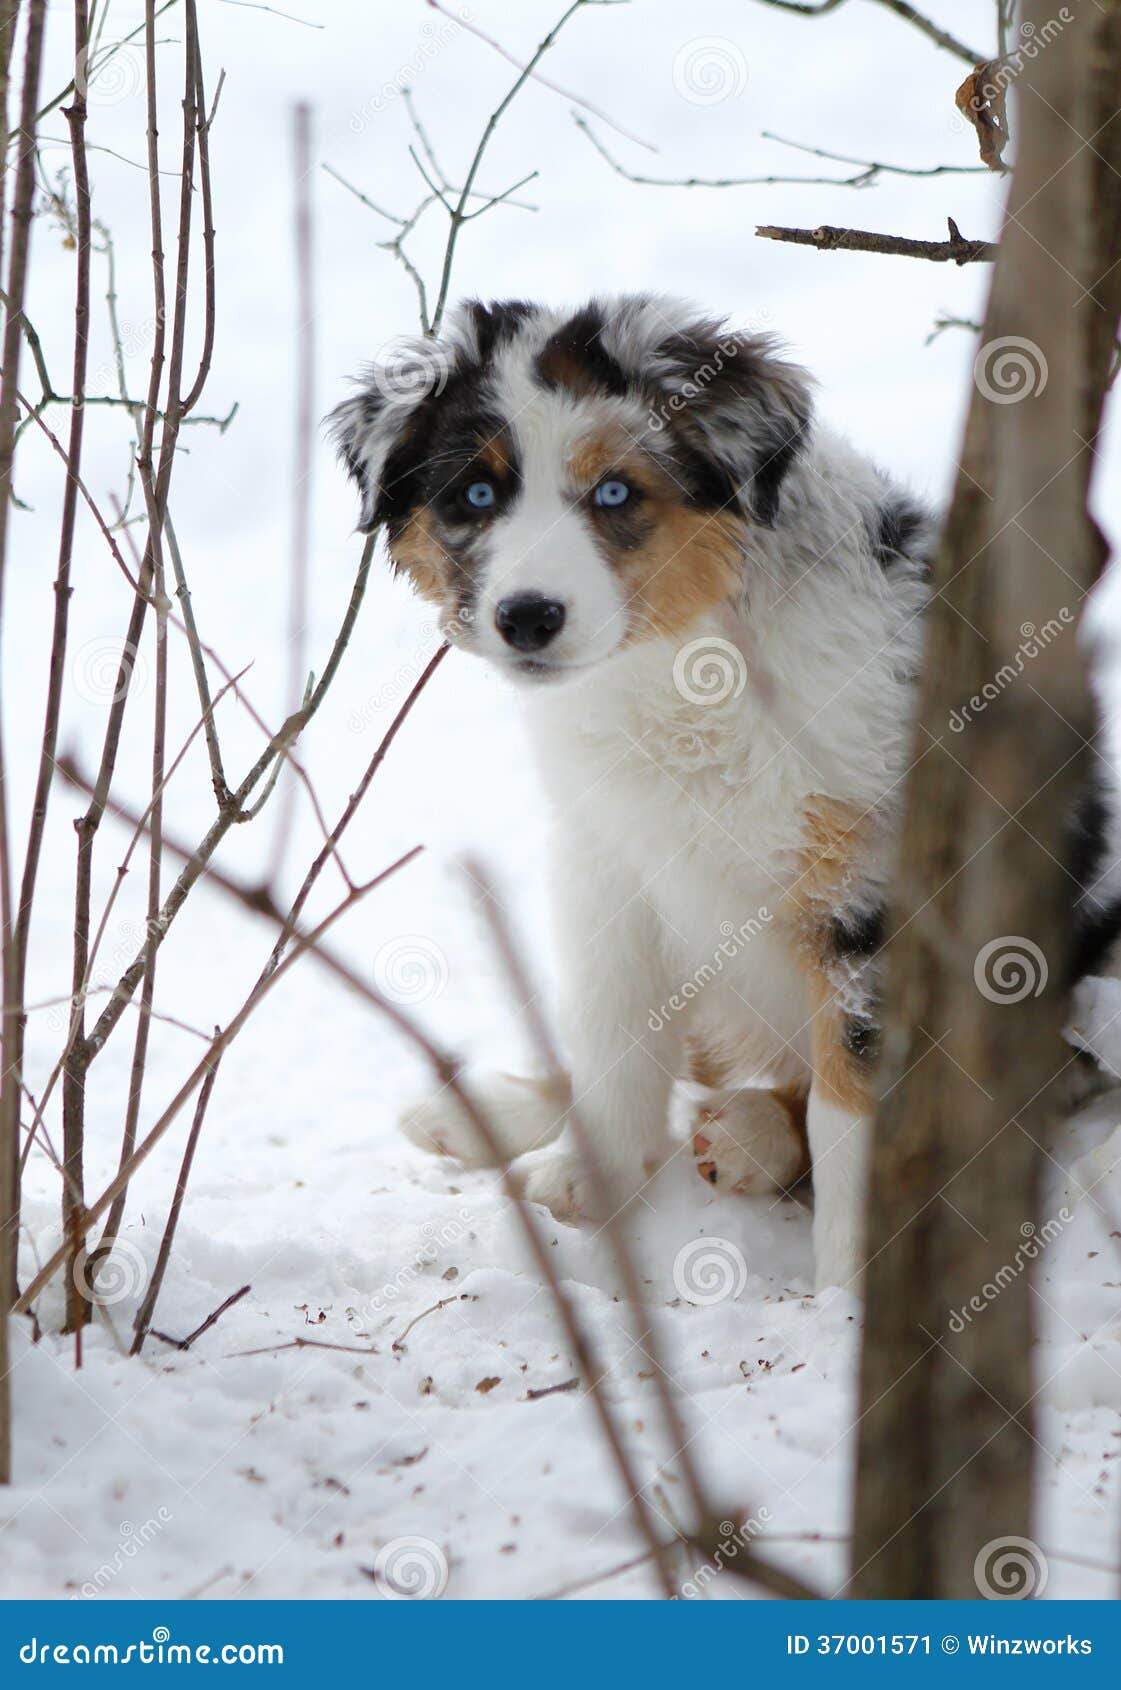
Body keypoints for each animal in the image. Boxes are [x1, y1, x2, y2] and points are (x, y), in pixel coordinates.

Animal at [333, 297, 1121, 1284]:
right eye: (474, 497)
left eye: (616, 494)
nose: (526, 618)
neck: (686, 667)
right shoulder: (606, 853)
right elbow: (612, 1026)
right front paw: (590, 1176)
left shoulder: (875, 883)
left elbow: (850, 1101)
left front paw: (850, 1297)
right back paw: (487, 1117)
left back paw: (751, 1135)